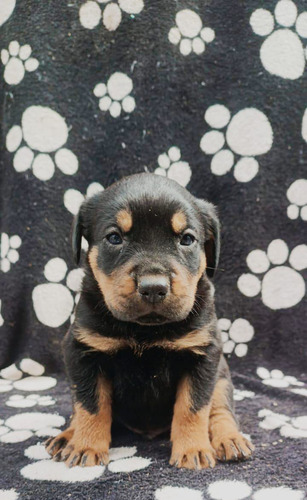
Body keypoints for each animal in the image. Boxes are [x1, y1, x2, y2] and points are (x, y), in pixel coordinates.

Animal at [45, 172, 255, 468]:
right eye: (114, 237)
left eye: (187, 239)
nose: (153, 287)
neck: (145, 330)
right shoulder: (83, 350)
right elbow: (91, 404)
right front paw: (86, 446)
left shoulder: (203, 353)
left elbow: (193, 407)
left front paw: (193, 450)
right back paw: (67, 437)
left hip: (223, 376)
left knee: (220, 409)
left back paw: (230, 439)